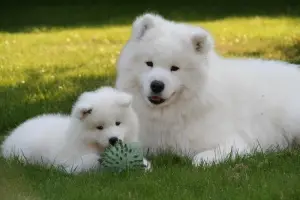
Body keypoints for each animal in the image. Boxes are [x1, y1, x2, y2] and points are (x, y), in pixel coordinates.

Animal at [0, 86, 149, 173]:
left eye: (118, 123)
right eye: (99, 127)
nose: (114, 139)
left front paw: (144, 165)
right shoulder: (69, 162)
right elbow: (87, 162)